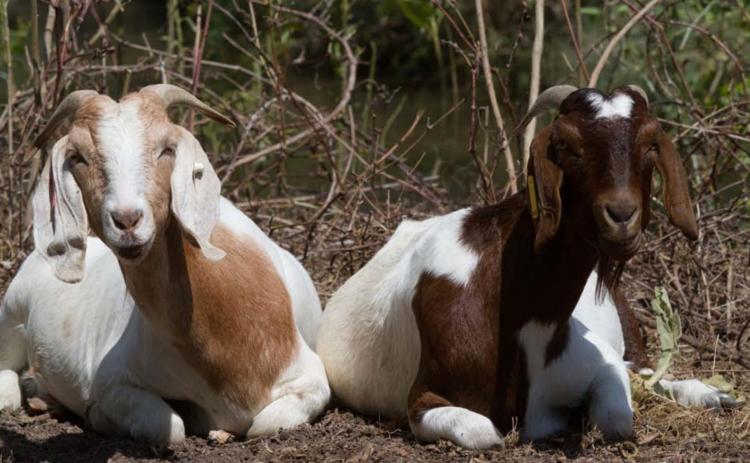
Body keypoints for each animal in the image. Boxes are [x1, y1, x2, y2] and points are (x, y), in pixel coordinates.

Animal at [0, 85, 330, 447]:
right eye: (78, 157)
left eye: (166, 149)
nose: (127, 220)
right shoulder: (113, 381)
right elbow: (169, 427)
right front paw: (97, 417)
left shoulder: (312, 379)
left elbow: (265, 424)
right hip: (11, 311)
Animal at [316, 85, 699, 449]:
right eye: (566, 145)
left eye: (650, 143)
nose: (621, 215)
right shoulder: (424, 398)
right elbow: (485, 433)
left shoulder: (600, 362)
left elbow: (618, 418)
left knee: (647, 371)